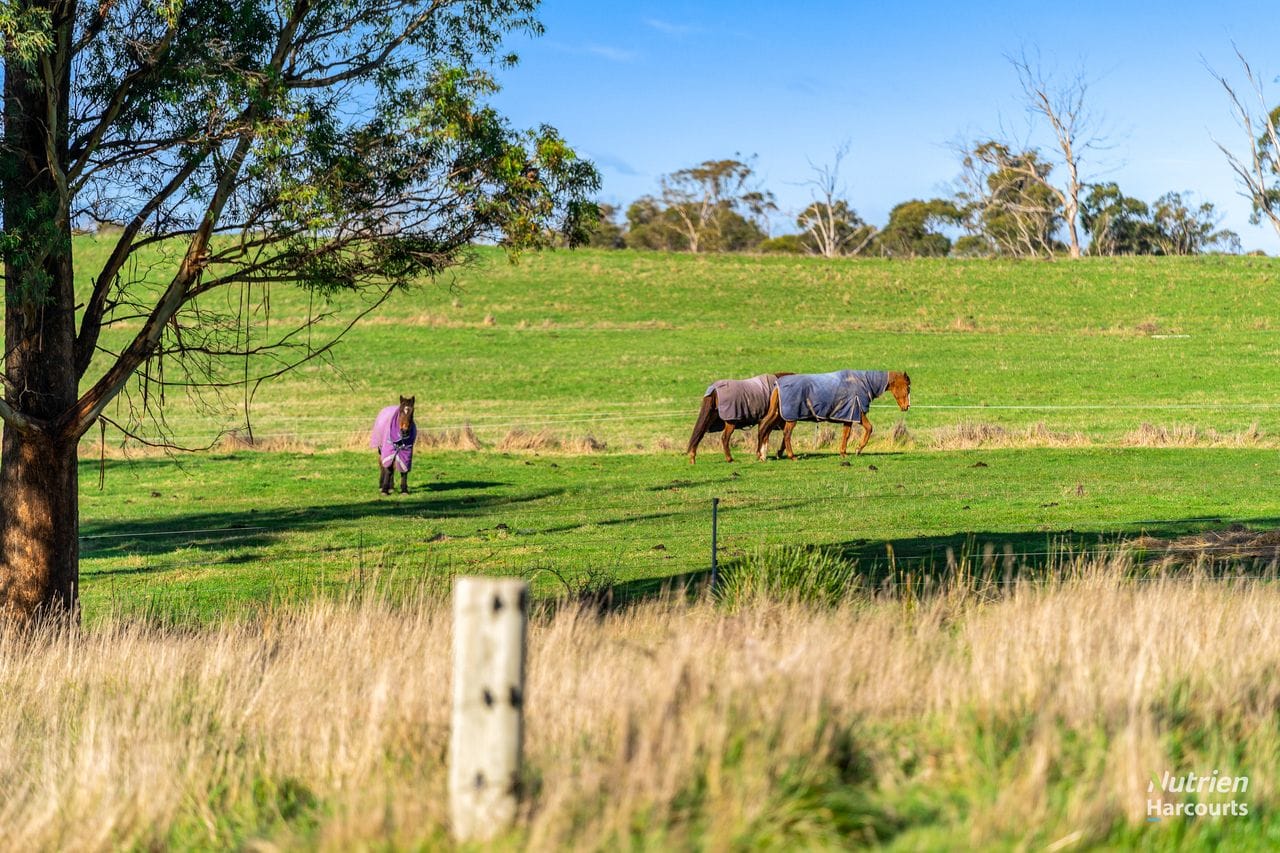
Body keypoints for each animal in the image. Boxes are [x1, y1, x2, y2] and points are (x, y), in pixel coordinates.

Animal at [757, 366, 911, 458]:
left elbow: (846, 435)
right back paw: (791, 456)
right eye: (908, 388)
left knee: (765, 428)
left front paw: (843, 453)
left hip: (779, 415)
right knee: (786, 434)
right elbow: (869, 428)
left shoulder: (849, 417)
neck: (862, 383)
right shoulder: (858, 414)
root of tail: (778, 385)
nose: (907, 406)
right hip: (790, 418)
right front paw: (858, 449)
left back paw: (765, 454)